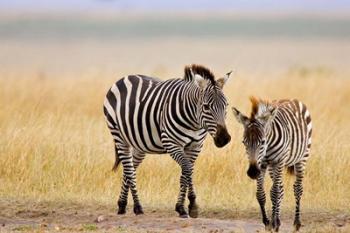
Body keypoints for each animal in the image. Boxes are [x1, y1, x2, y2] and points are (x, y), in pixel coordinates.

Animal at [102, 64, 231, 218]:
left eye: (226, 106)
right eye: (206, 106)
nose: (224, 139)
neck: (194, 122)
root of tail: (124, 78)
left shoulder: (195, 146)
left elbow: (187, 172)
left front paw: (186, 206)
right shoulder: (171, 143)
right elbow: (187, 169)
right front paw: (187, 206)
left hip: (139, 144)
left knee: (130, 169)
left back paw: (122, 204)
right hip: (119, 136)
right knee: (129, 169)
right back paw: (138, 207)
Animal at [232, 96, 312, 231]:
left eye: (263, 141)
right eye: (244, 142)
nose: (252, 172)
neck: (267, 147)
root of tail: (291, 99)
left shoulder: (279, 161)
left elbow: (275, 192)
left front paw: (274, 222)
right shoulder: (262, 164)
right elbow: (261, 194)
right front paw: (268, 222)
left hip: (302, 157)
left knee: (297, 188)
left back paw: (296, 223)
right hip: (271, 167)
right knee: (280, 188)